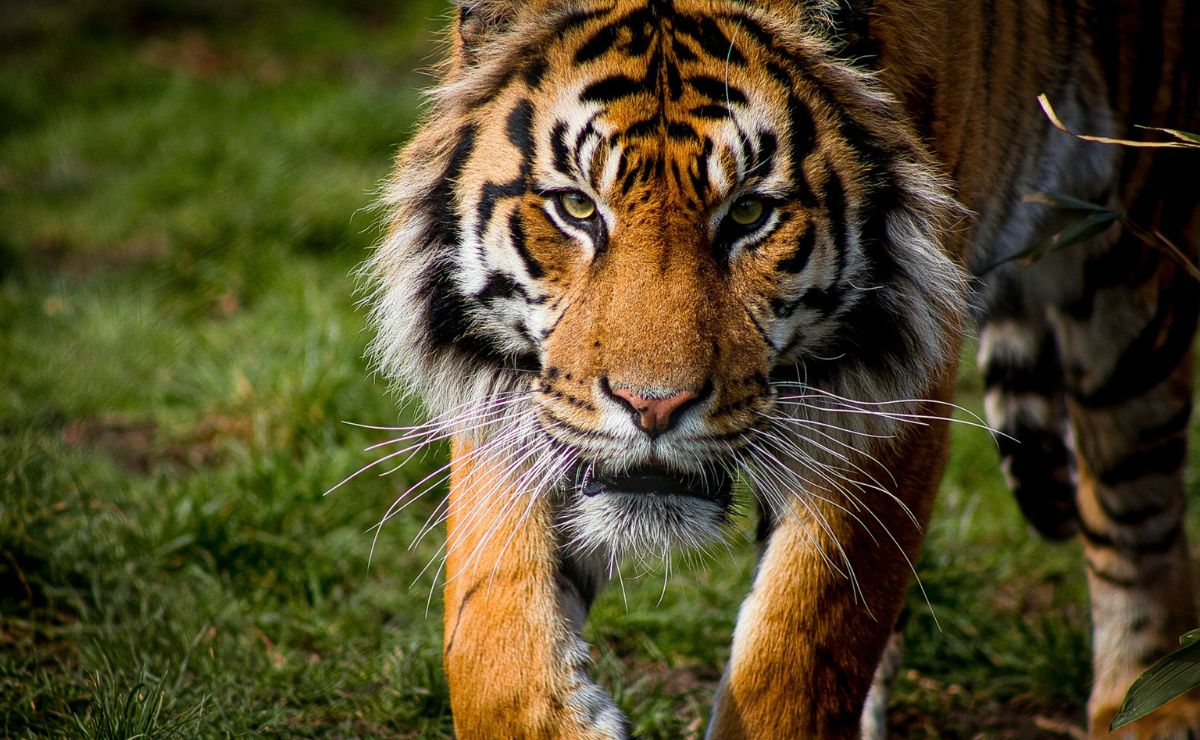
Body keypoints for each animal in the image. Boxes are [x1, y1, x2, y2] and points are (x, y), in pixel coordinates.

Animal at [364, 0, 1200, 736]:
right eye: (576, 208)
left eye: (747, 214)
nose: (652, 406)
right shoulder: (521, 403)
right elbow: (488, 639)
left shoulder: (884, 400)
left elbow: (799, 650)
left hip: (1131, 267)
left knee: (1138, 520)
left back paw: (1144, 708)